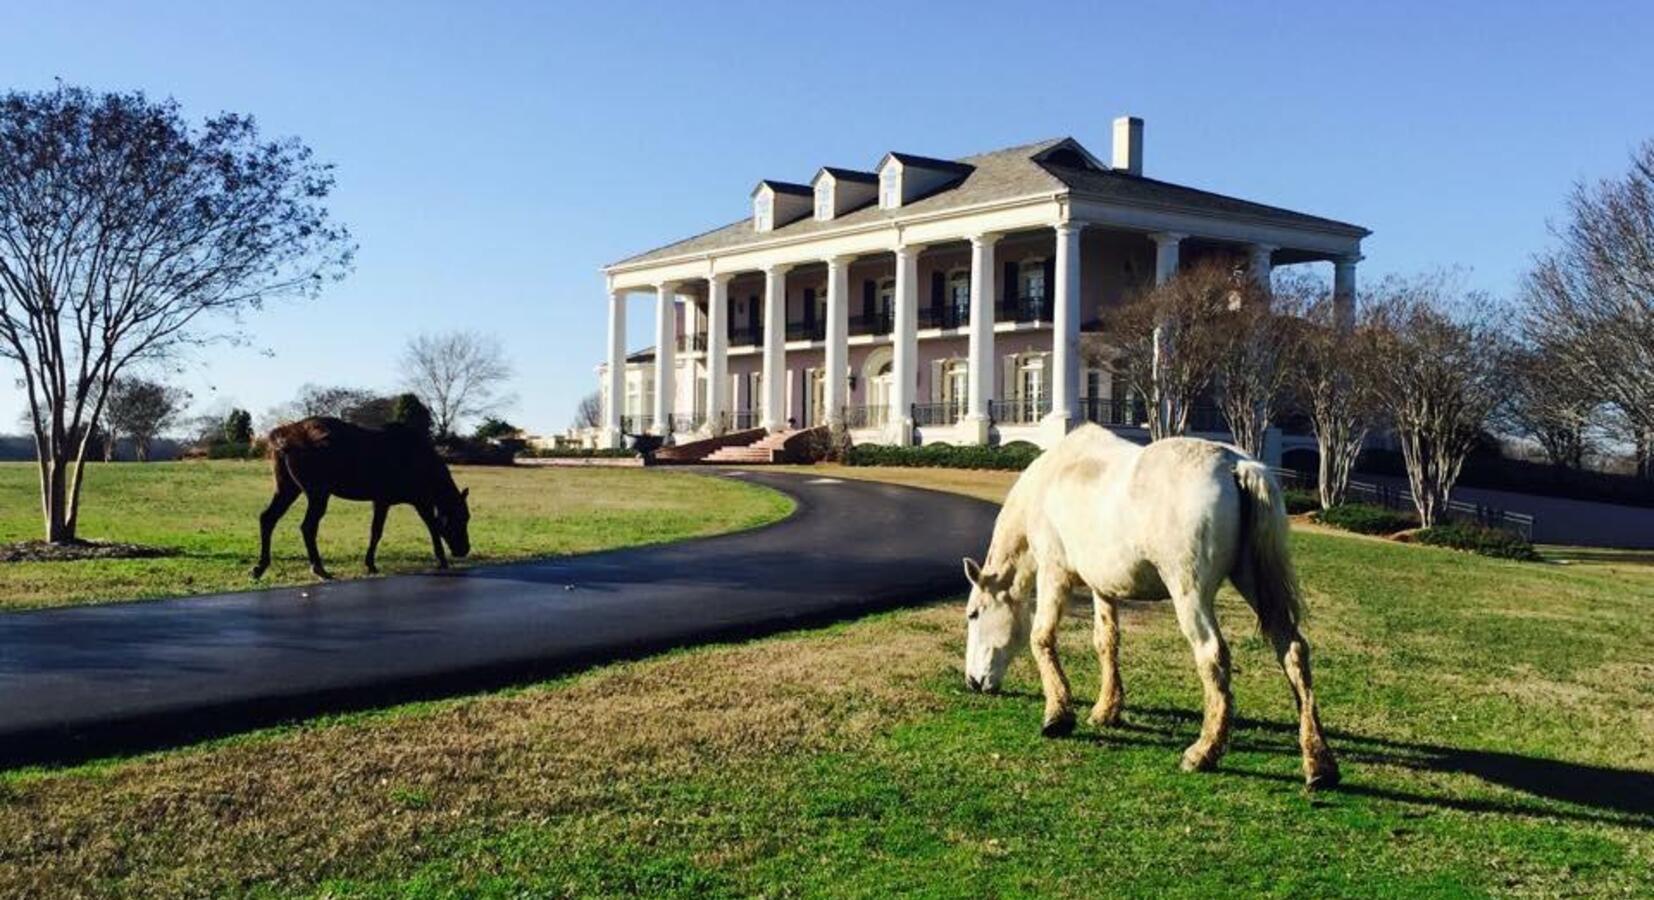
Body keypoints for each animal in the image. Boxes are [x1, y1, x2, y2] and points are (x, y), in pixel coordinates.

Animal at [251, 418, 473, 579]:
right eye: (461, 518)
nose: (464, 549)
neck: (417, 458)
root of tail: (285, 436)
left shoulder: (412, 501)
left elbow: (428, 526)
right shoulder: (392, 501)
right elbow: (381, 531)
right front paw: (371, 564)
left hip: (288, 489)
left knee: (268, 519)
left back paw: (260, 567)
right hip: (317, 494)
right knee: (307, 527)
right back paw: (319, 568)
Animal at [965, 421, 1336, 787]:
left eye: (973, 614)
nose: (972, 681)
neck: (1053, 478)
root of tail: (1236, 465)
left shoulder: (1053, 573)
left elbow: (1041, 637)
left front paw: (1058, 715)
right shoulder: (1103, 587)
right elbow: (1106, 643)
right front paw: (1106, 710)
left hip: (1190, 593)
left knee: (1213, 654)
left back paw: (1203, 752)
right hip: (1253, 582)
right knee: (1292, 649)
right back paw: (1318, 764)